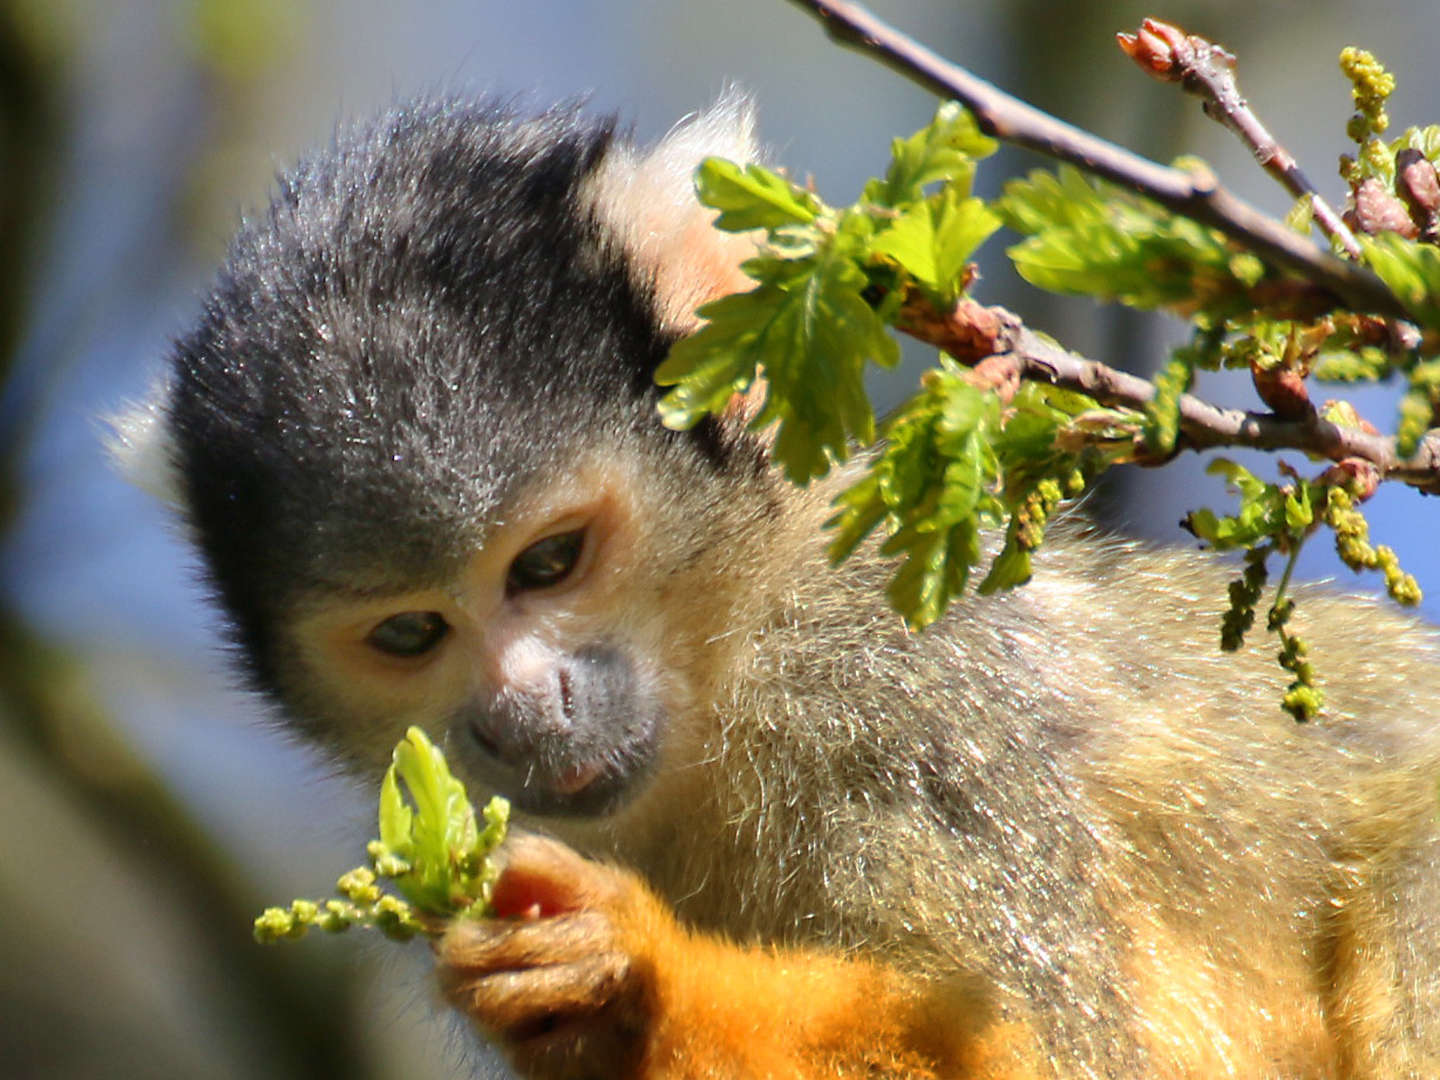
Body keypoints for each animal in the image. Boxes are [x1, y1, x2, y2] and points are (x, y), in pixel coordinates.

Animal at [112, 97, 1440, 1077]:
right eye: (409, 632)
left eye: (547, 564)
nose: (525, 713)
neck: (741, 656)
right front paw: (572, 1019)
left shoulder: (914, 699)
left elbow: (1066, 1053)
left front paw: (637, 984)